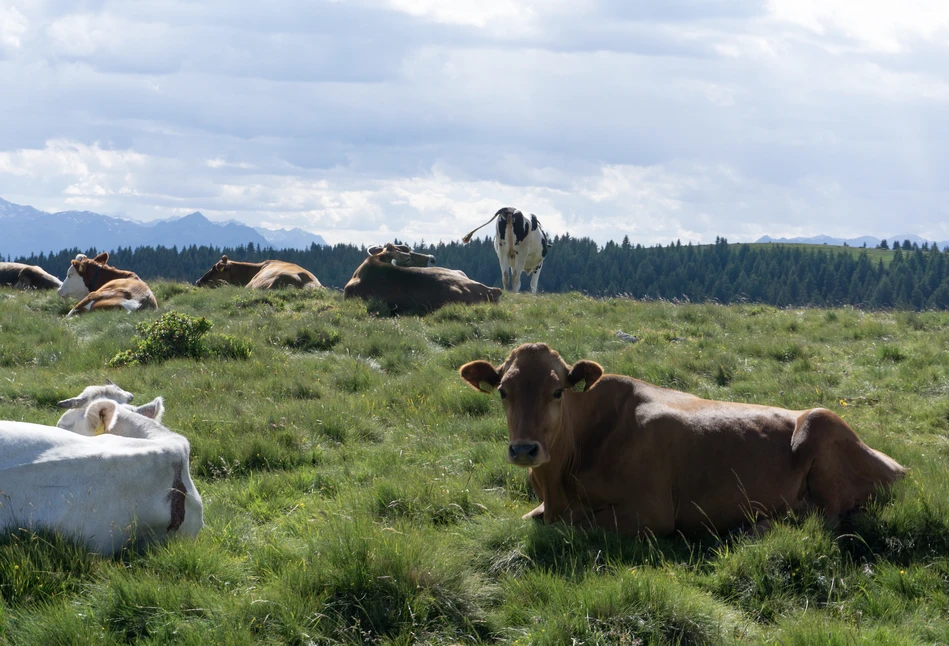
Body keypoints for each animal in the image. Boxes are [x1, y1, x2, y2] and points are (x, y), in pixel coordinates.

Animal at [462, 346, 908, 540]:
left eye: (558, 392)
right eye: (502, 391)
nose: (524, 449)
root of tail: (898, 464)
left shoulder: (651, 512)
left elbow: (574, 524)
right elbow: (531, 519)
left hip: (820, 422)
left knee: (823, 517)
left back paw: (758, 527)